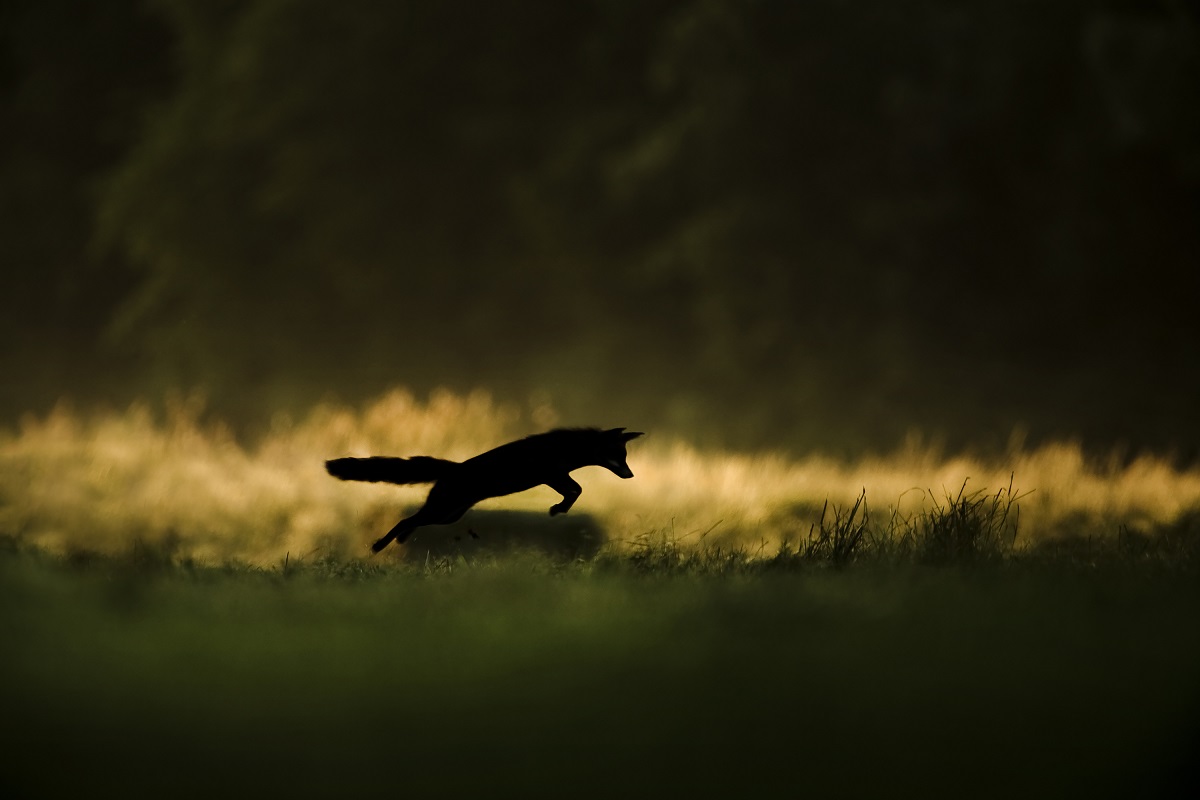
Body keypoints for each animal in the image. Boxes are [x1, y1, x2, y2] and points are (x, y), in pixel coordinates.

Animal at [324, 429, 643, 554]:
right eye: (619, 456)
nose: (631, 474)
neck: (565, 448)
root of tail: (453, 467)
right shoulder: (548, 473)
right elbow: (576, 490)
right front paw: (558, 509)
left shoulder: (556, 476)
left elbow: (575, 490)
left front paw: (558, 508)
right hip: (444, 509)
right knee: (407, 519)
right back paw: (379, 545)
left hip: (448, 515)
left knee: (412, 519)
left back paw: (399, 541)